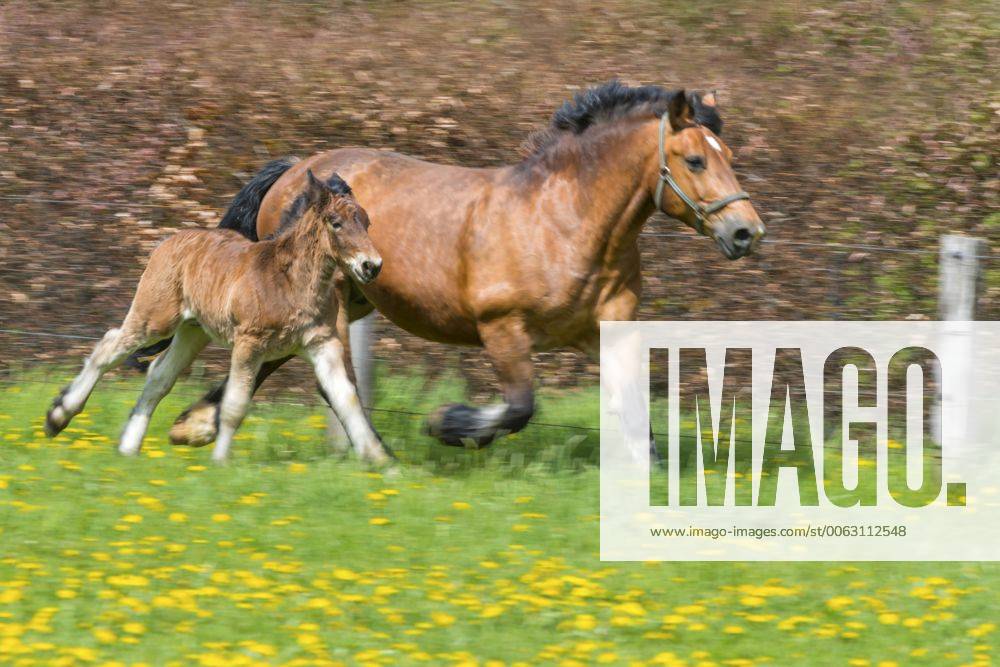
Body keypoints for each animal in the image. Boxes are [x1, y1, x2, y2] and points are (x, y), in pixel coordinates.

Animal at [46, 171, 393, 464]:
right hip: (156, 319)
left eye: (366, 222)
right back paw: (58, 417)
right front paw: (220, 462)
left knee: (159, 376)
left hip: (193, 331)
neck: (289, 281)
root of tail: (168, 241)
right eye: (335, 223)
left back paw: (128, 447)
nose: (371, 266)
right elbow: (234, 405)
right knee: (108, 348)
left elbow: (346, 398)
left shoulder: (322, 344)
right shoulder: (249, 344)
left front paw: (381, 462)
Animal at [165, 80, 765, 449]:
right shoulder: (502, 328)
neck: (564, 221)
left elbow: (636, 408)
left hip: (348, 300)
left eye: (729, 157)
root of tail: (296, 168)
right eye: (695, 160)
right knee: (319, 377)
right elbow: (520, 407)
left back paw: (195, 426)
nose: (746, 232)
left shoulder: (603, 330)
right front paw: (447, 424)